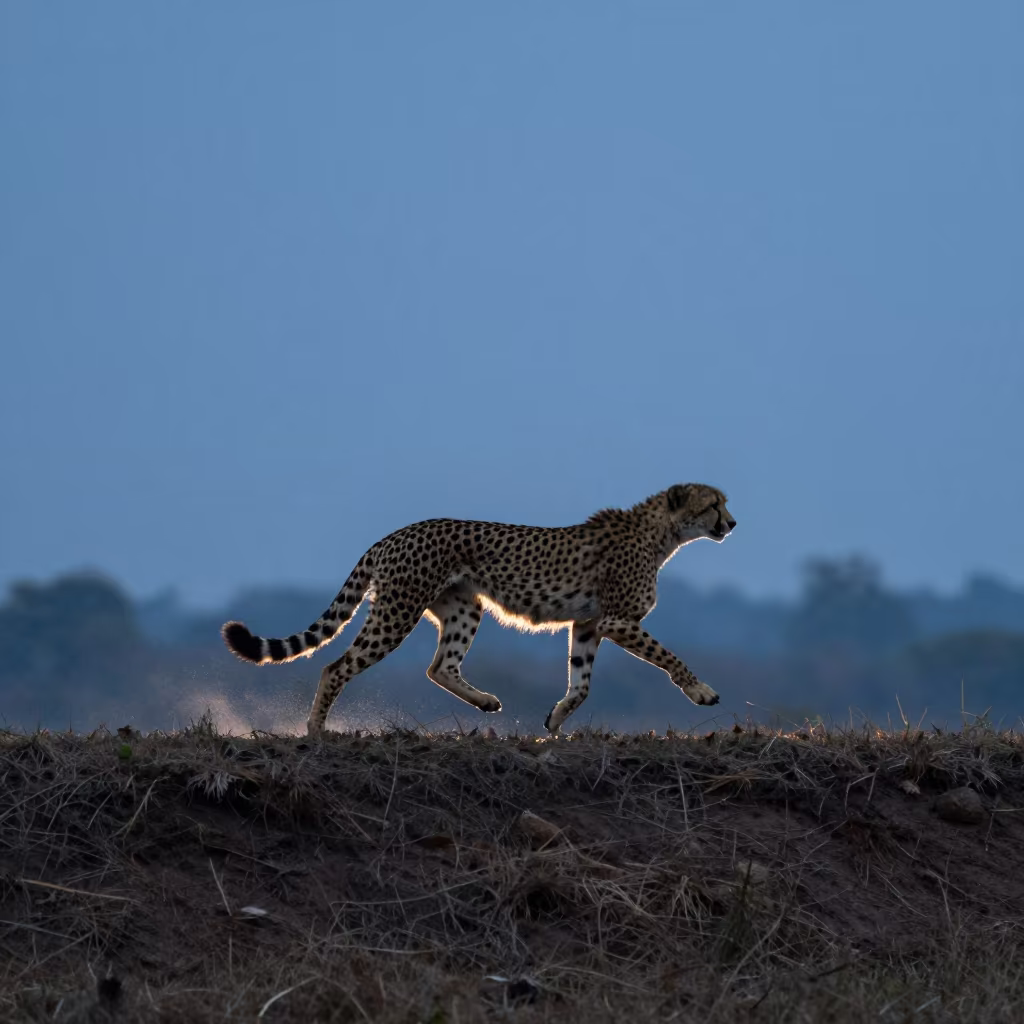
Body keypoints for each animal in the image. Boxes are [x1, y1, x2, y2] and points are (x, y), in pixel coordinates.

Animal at [221, 483, 737, 736]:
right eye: (713, 504)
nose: (732, 523)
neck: (663, 533)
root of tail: (393, 535)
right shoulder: (615, 619)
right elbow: (668, 655)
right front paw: (702, 691)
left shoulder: (588, 623)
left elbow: (582, 682)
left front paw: (556, 720)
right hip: (397, 611)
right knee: (336, 666)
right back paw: (315, 730)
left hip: (465, 609)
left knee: (439, 666)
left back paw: (486, 701)